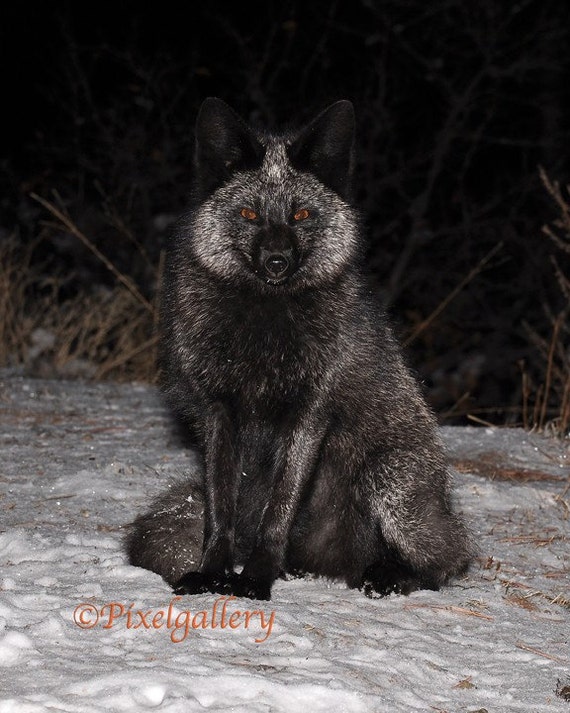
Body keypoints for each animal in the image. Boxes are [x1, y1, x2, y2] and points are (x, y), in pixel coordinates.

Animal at [126, 97, 473, 601]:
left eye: (302, 216)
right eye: (249, 215)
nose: (277, 261)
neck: (264, 325)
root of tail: (337, 561)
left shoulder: (309, 414)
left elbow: (279, 512)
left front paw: (255, 579)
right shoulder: (218, 413)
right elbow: (219, 513)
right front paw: (212, 574)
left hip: (389, 486)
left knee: (448, 559)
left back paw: (388, 574)